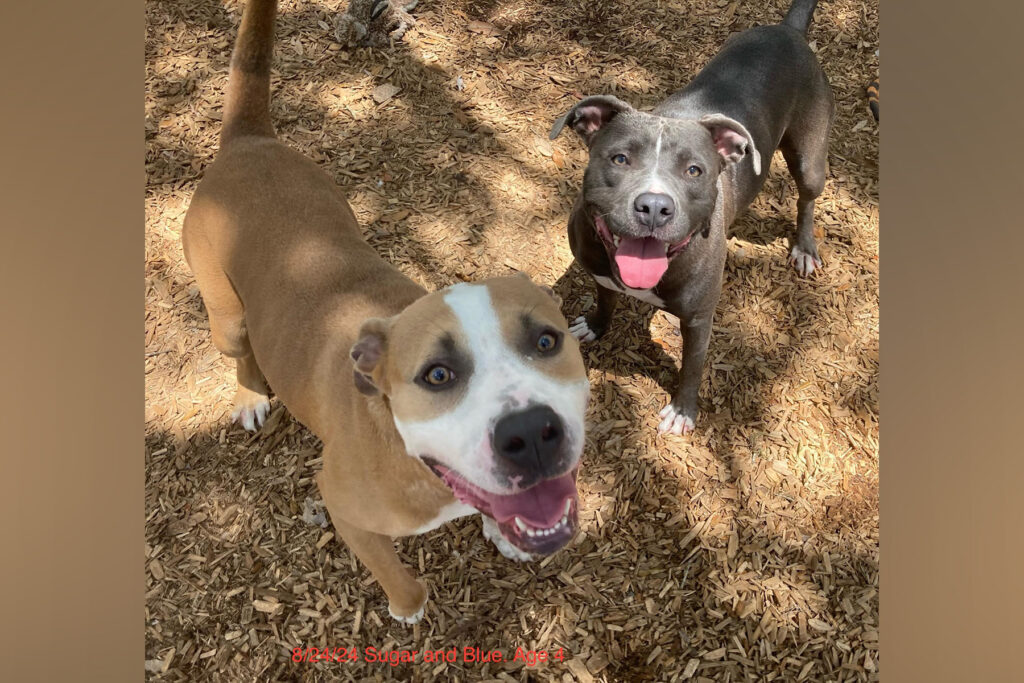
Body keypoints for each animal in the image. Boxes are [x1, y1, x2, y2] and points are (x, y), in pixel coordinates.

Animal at [180, 0, 589, 622]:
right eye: (437, 376)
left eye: (547, 341)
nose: (531, 433)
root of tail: (247, 142)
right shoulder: (345, 509)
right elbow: (397, 575)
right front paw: (407, 606)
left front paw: (501, 534)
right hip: (225, 316)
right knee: (239, 348)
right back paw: (250, 396)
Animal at [552, 0, 831, 436]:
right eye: (620, 158)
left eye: (695, 171)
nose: (653, 206)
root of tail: (788, 30)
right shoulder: (600, 273)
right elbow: (605, 298)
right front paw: (595, 325)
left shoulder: (699, 320)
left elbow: (692, 368)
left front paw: (683, 411)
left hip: (809, 158)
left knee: (806, 199)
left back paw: (804, 248)